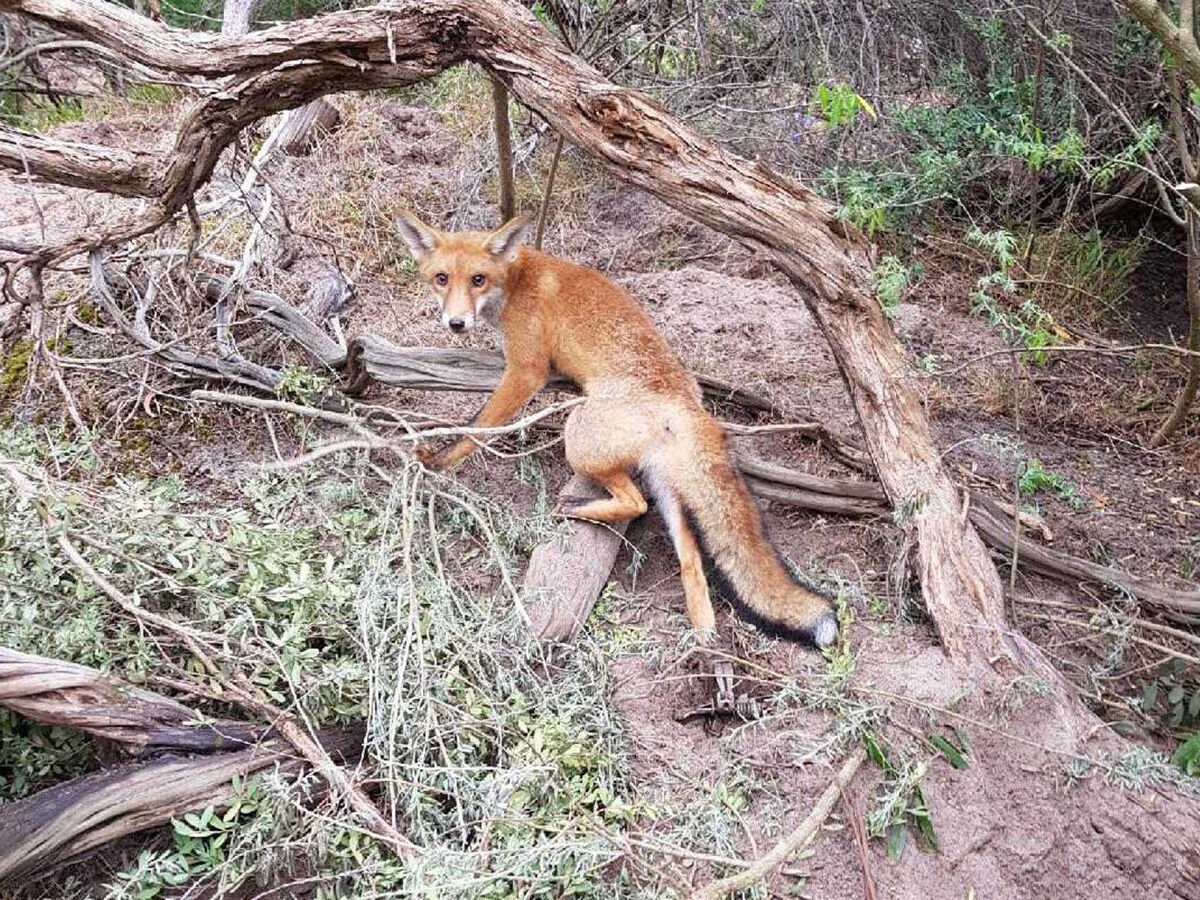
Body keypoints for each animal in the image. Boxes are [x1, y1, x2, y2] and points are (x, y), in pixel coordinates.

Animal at [393, 211, 835, 648]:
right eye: (442, 278)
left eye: (478, 279)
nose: (456, 323)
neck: (516, 281)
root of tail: (687, 401)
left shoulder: (526, 371)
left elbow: (476, 428)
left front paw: (438, 460)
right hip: (665, 486)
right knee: (691, 561)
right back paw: (702, 643)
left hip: (579, 433)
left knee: (635, 504)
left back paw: (577, 509)